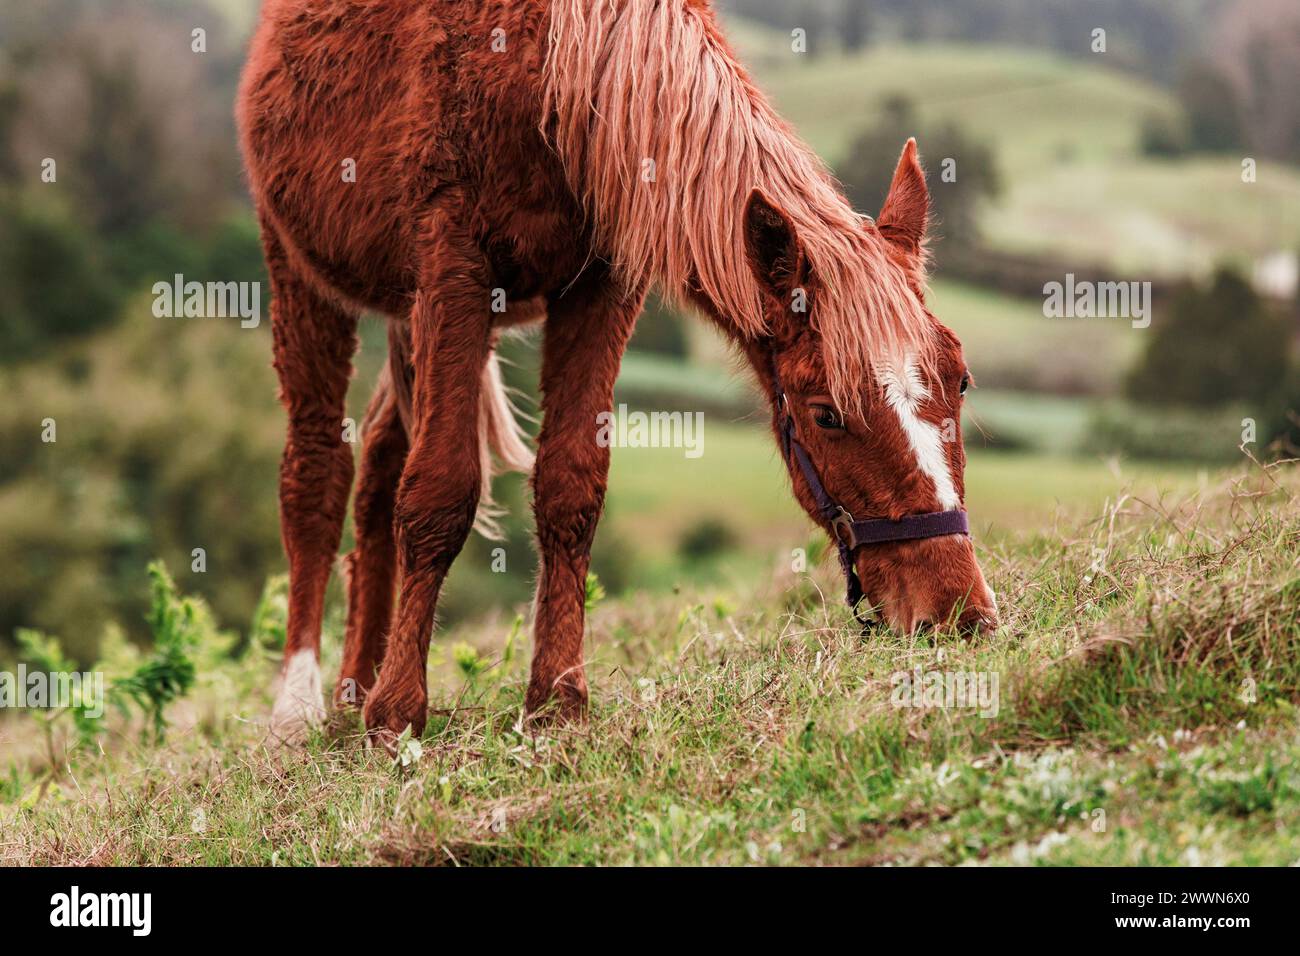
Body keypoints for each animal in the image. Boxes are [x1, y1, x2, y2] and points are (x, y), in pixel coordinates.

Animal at [239, 0, 998, 749]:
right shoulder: (453, 270)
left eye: (960, 381)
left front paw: (556, 704)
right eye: (826, 414)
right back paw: (300, 708)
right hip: (301, 271)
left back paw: (352, 690)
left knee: (377, 463)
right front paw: (398, 714)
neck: (548, 71)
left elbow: (571, 487)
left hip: (405, 313)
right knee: (317, 472)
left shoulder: (601, 285)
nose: (958, 611)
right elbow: (439, 490)